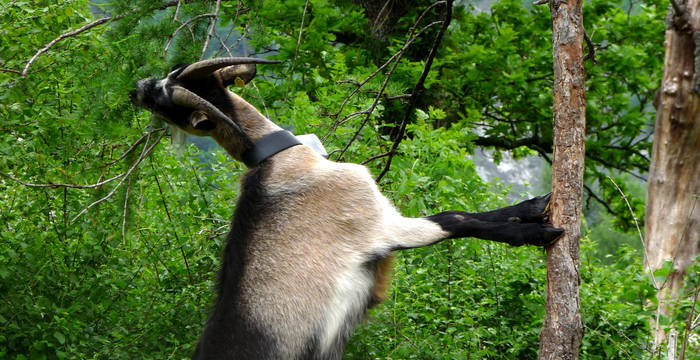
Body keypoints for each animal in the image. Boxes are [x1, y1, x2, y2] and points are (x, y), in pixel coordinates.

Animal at [131, 57, 564, 358]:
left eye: (169, 81)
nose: (138, 87)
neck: (280, 162)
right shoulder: (380, 226)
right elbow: (453, 220)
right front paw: (536, 229)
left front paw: (535, 205)